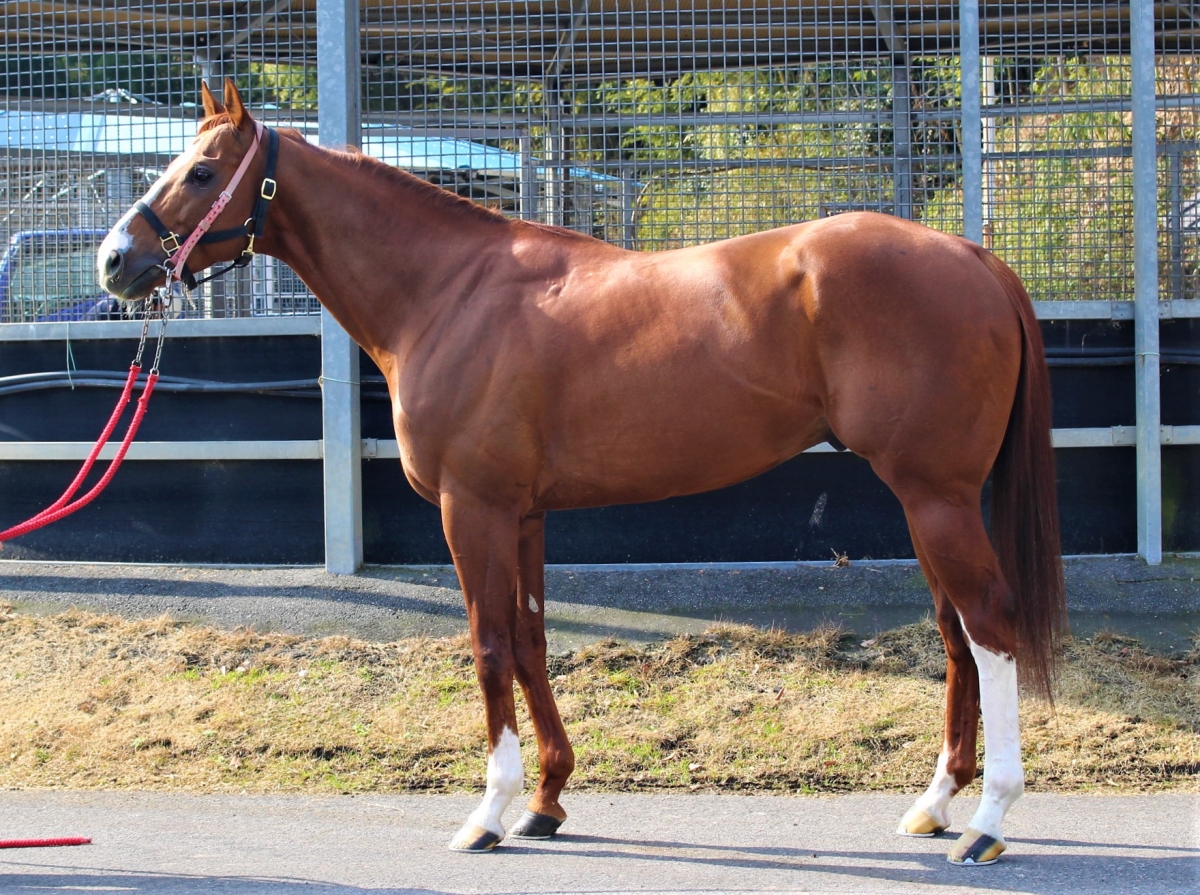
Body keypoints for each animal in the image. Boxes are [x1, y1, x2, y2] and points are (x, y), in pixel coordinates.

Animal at [97, 80, 1065, 865]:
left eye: (199, 171)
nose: (114, 260)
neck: (448, 292)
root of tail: (974, 257)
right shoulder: (523, 513)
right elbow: (530, 641)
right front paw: (548, 798)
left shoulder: (473, 509)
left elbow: (488, 645)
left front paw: (488, 812)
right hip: (928, 499)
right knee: (955, 635)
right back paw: (936, 804)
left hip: (935, 497)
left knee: (991, 626)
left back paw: (988, 822)